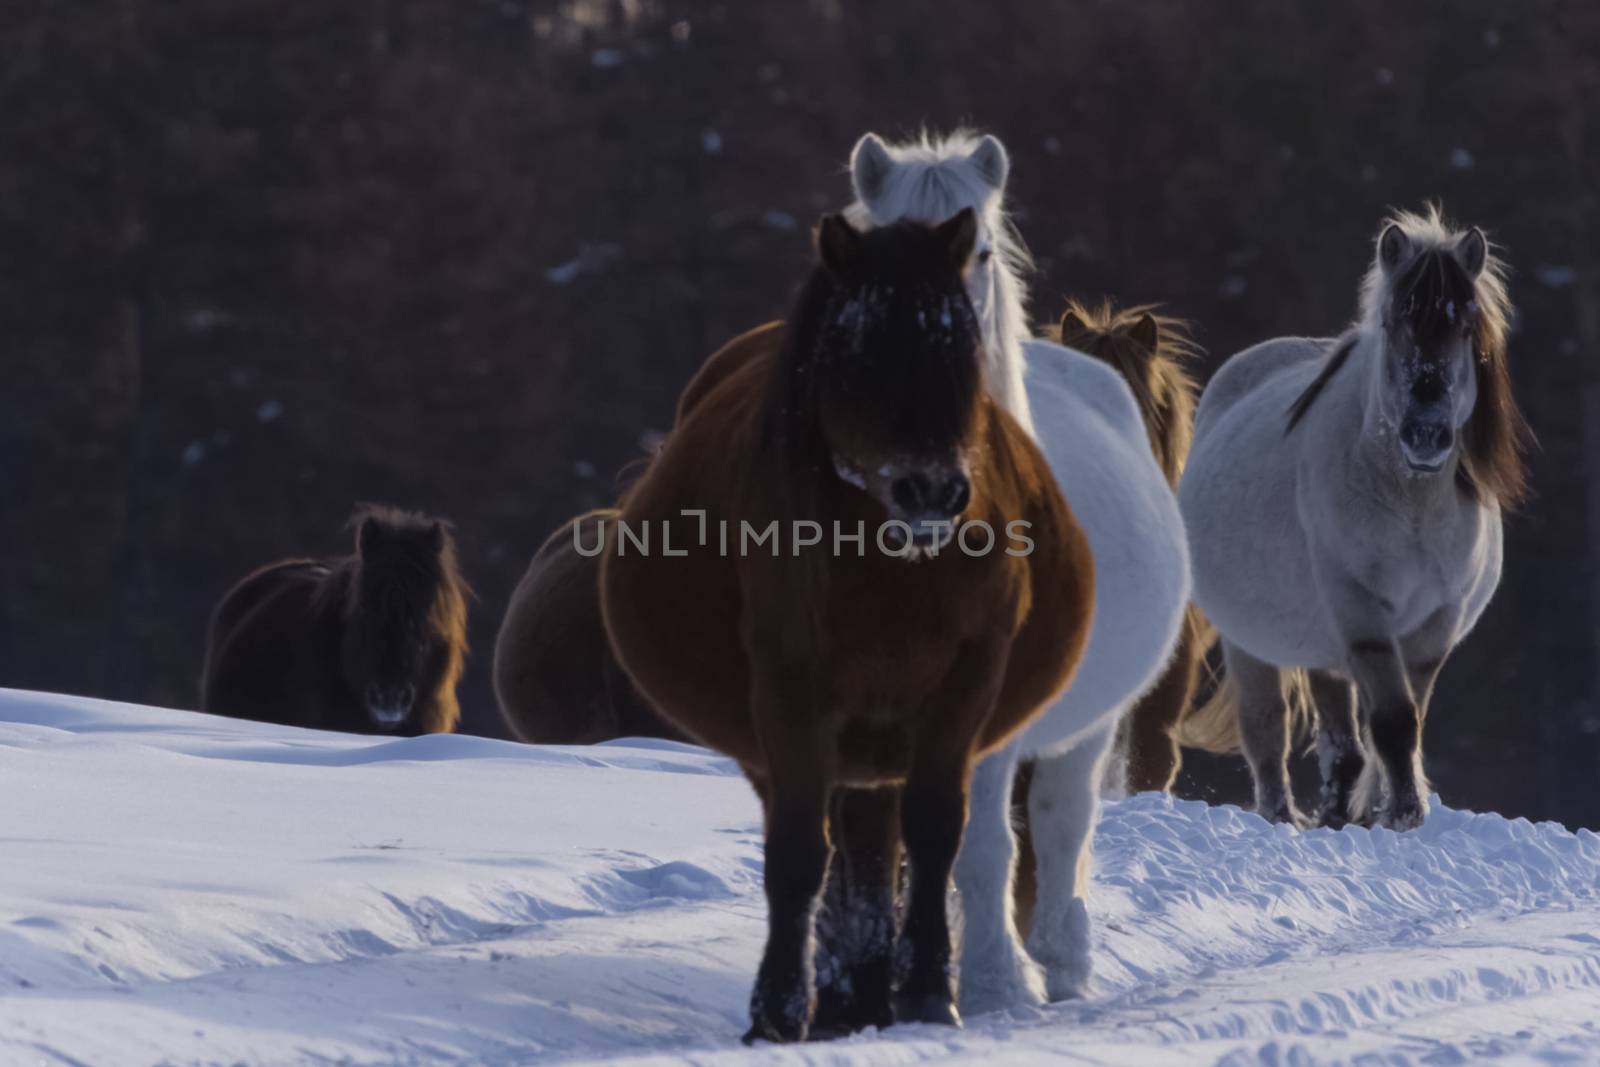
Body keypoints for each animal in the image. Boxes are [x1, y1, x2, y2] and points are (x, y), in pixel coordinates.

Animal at [601, 212, 1100, 1049]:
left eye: (961, 350)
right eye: (860, 357)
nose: (930, 489)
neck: (889, 565)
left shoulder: (966, 682)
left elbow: (932, 833)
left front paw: (928, 990)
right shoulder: (790, 693)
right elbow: (800, 854)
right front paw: (776, 1010)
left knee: (873, 852)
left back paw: (867, 992)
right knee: (839, 854)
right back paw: (842, 996)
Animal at [1184, 204, 1529, 831]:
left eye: (1466, 329)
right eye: (1394, 324)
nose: (1426, 435)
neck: (1411, 505)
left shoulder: (1432, 625)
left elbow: (1402, 722)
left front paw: (1390, 810)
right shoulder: (1362, 614)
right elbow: (1391, 721)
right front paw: (1404, 813)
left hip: (1323, 647)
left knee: (1340, 744)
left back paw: (1337, 812)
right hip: (1250, 643)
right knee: (1266, 730)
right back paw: (1282, 815)